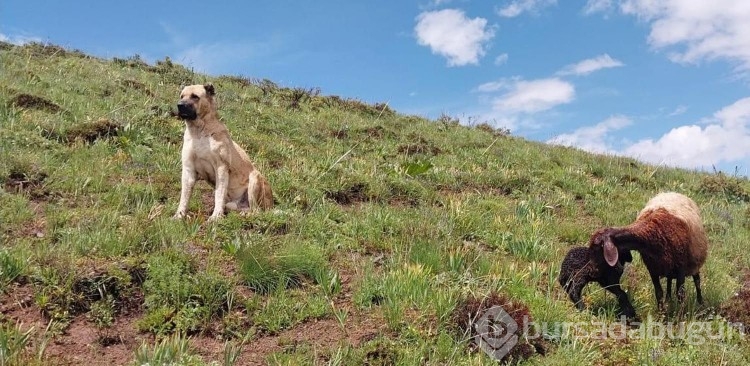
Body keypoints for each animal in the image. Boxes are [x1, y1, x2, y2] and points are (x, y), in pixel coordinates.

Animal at [173, 83, 274, 220]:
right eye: (182, 96)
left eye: (195, 96)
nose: (180, 105)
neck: (199, 132)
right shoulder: (189, 170)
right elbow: (184, 196)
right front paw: (179, 215)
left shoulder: (221, 168)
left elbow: (219, 194)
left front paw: (216, 216)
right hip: (234, 203)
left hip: (255, 178)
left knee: (257, 211)